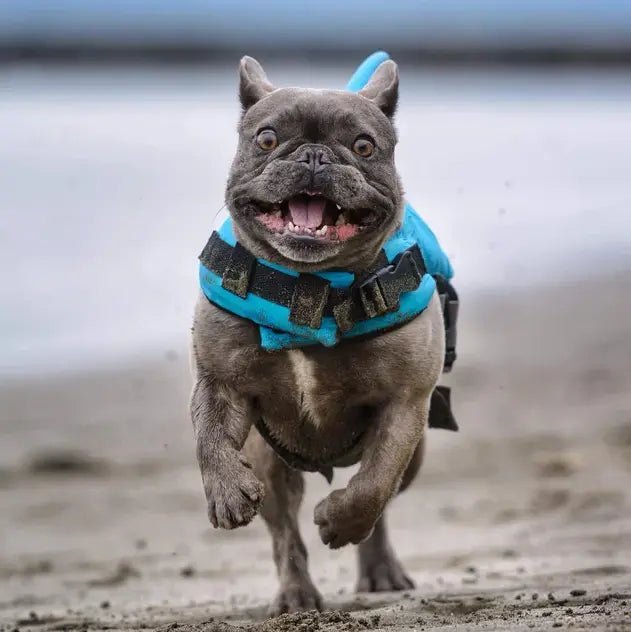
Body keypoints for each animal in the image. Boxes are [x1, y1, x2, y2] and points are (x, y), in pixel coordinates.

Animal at [191, 56, 450, 616]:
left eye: (364, 146)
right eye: (266, 139)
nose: (314, 155)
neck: (310, 285)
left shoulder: (404, 404)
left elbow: (374, 483)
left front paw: (339, 520)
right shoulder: (220, 381)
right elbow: (209, 438)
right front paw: (225, 491)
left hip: (415, 452)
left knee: (380, 496)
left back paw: (379, 569)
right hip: (270, 462)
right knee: (284, 533)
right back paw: (295, 595)